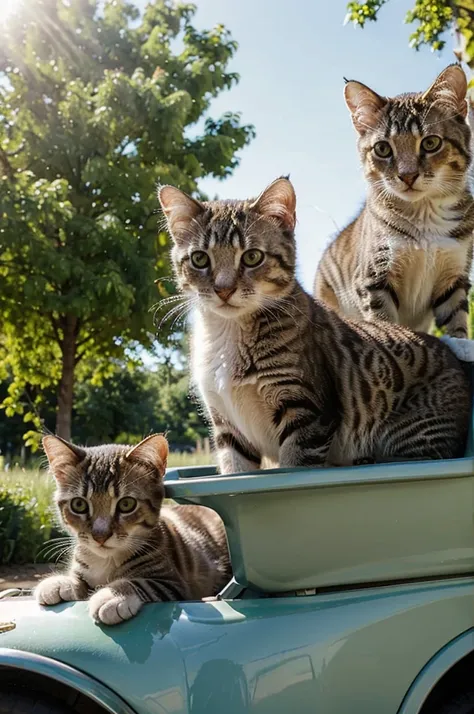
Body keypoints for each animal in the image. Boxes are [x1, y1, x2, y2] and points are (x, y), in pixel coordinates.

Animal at [34, 428, 230, 624]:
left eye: (126, 504)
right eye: (79, 505)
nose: (100, 535)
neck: (106, 561)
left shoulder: (173, 582)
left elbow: (141, 582)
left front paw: (112, 595)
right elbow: (79, 578)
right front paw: (61, 582)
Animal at [314, 63, 474, 336]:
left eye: (431, 142)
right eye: (382, 148)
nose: (407, 175)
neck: (425, 217)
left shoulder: (456, 273)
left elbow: (457, 322)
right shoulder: (374, 278)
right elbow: (383, 321)